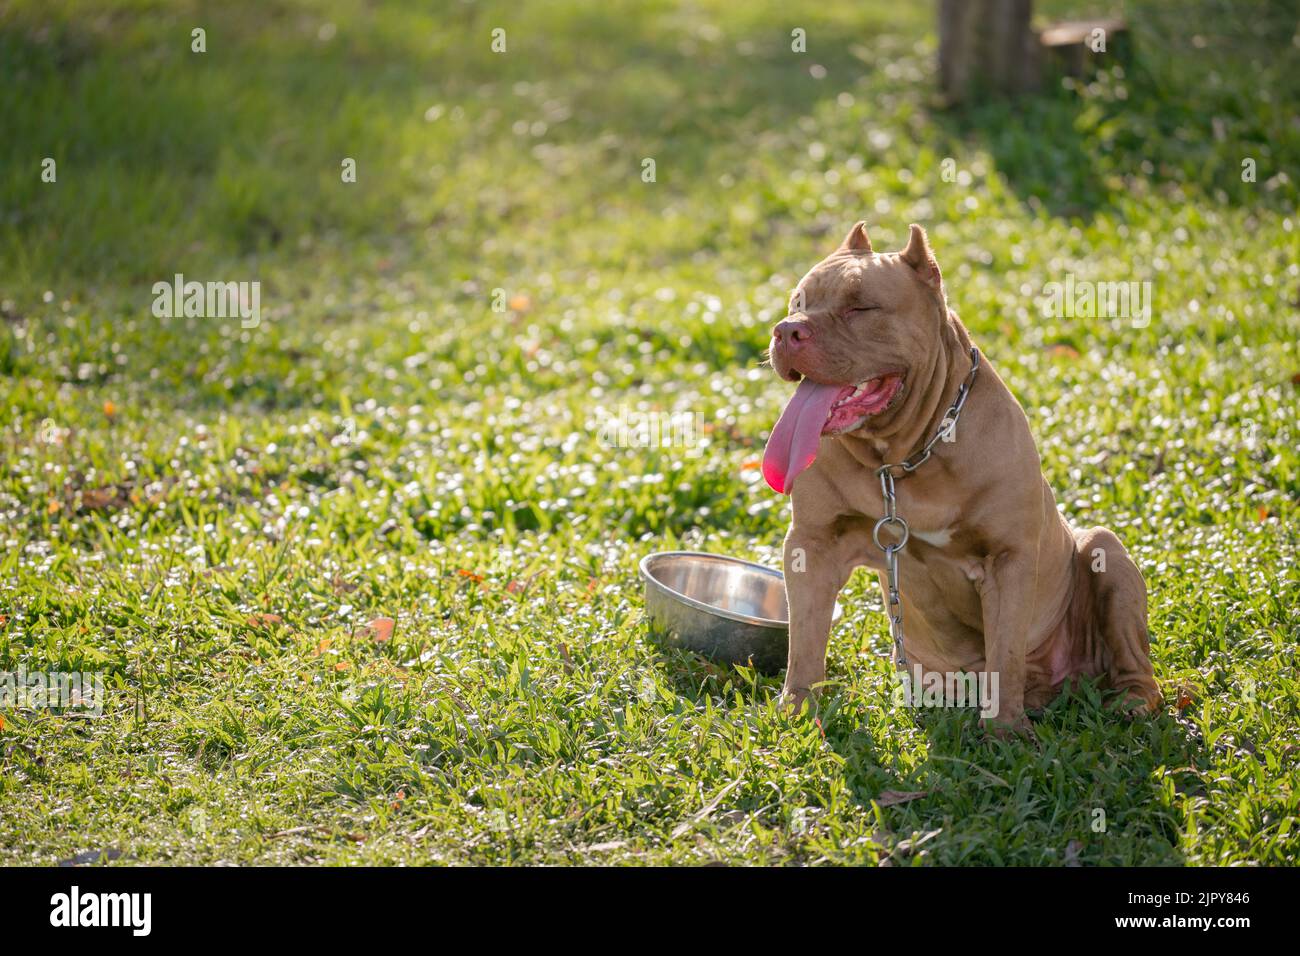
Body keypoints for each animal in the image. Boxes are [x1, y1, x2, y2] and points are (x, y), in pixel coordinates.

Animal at [759, 222, 1159, 733]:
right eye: (797, 302)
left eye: (860, 307)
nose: (787, 329)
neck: (903, 458)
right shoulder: (814, 543)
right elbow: (806, 641)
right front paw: (797, 712)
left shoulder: (1007, 558)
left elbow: (1005, 654)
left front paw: (1005, 732)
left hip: (1106, 553)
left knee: (1134, 663)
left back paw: (1131, 702)